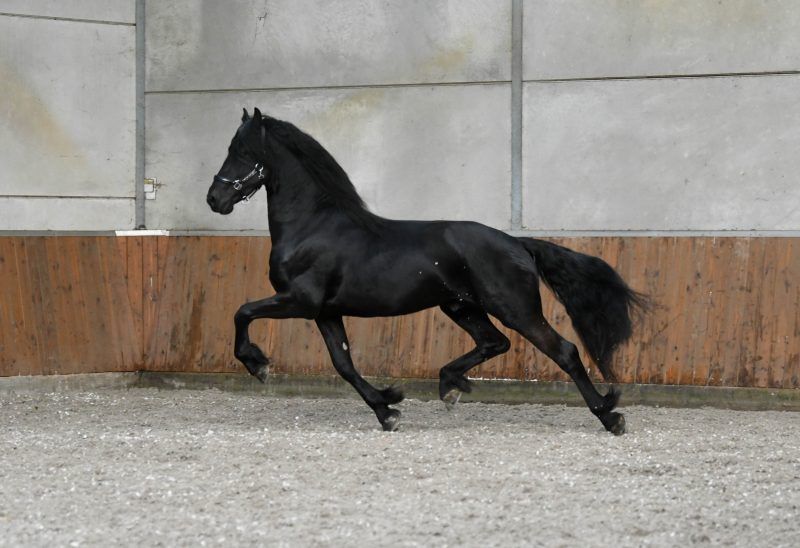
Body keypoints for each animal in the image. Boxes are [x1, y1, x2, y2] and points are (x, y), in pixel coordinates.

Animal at [206, 108, 646, 434]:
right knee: (494, 342)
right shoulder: (326, 312)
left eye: (240, 150)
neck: (312, 226)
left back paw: (609, 416)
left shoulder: (300, 300)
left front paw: (257, 364)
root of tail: (516, 242)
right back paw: (449, 385)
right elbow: (344, 365)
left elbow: (242, 311)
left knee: (563, 350)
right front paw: (388, 408)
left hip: (514, 308)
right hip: (460, 307)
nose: (214, 199)